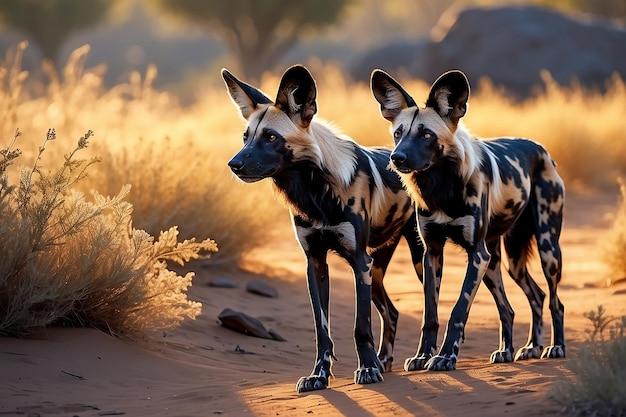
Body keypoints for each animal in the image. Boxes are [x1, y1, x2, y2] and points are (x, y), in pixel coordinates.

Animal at [221, 64, 424, 390]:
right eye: (246, 137)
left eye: (271, 137)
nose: (234, 164)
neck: (314, 192)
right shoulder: (316, 264)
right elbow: (322, 331)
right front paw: (319, 375)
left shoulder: (358, 262)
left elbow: (360, 327)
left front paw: (367, 369)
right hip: (377, 270)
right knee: (392, 313)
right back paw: (386, 361)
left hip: (417, 260)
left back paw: (426, 357)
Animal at [368, 68, 564, 370]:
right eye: (398, 133)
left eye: (426, 135)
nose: (396, 157)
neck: (441, 187)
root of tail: (542, 150)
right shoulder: (432, 253)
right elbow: (430, 315)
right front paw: (423, 355)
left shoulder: (476, 254)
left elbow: (458, 310)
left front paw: (445, 356)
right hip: (504, 262)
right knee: (524, 301)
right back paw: (520, 348)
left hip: (546, 251)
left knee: (556, 302)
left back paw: (555, 347)